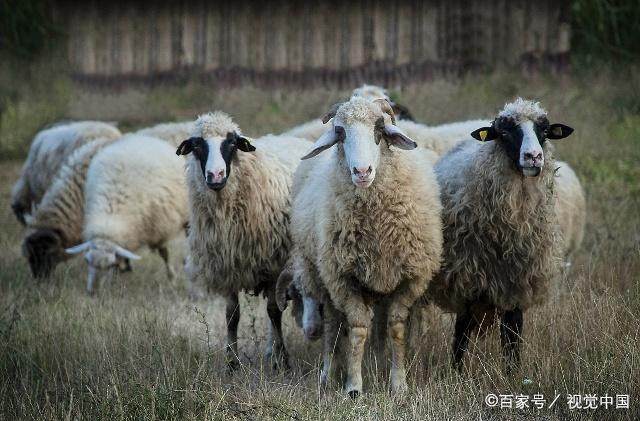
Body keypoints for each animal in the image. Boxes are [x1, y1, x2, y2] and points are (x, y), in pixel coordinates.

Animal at [66, 134, 189, 292]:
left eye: (110, 264)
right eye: (87, 260)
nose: (92, 292)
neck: (111, 214)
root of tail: (144, 138)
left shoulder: (158, 228)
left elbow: (165, 253)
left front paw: (172, 278)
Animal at [175, 110, 312, 370]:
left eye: (231, 143)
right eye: (197, 145)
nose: (215, 175)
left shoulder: (274, 263)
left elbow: (273, 311)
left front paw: (282, 360)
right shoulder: (227, 264)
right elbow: (232, 316)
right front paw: (232, 361)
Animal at [288, 97, 442, 396]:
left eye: (379, 129)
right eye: (340, 132)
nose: (361, 172)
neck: (377, 225)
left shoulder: (410, 278)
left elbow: (396, 328)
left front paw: (399, 384)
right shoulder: (344, 279)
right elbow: (358, 329)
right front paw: (354, 386)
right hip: (322, 276)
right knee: (332, 325)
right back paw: (327, 374)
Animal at [424, 97, 576, 370]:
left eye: (544, 131)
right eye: (505, 132)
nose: (533, 157)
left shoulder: (516, 283)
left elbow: (512, 335)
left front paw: (512, 373)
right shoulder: (468, 279)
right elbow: (461, 334)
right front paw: (457, 373)